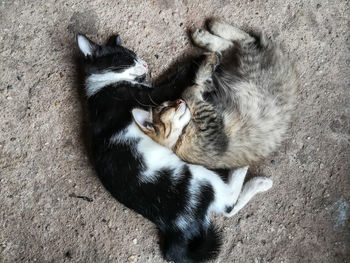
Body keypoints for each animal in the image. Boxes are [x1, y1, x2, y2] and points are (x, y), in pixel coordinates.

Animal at [76, 34, 274, 262]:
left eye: (135, 55)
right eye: (128, 57)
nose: (145, 63)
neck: (102, 87)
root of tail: (174, 230)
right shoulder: (148, 97)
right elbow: (174, 80)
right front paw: (202, 59)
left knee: (228, 209)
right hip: (198, 178)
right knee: (228, 202)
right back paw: (251, 175)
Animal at [144, 20, 296, 169]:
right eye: (165, 107)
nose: (178, 101)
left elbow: (196, 82)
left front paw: (206, 65)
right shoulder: (211, 125)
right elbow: (190, 89)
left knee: (239, 42)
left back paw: (208, 37)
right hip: (249, 65)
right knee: (244, 40)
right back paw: (212, 34)